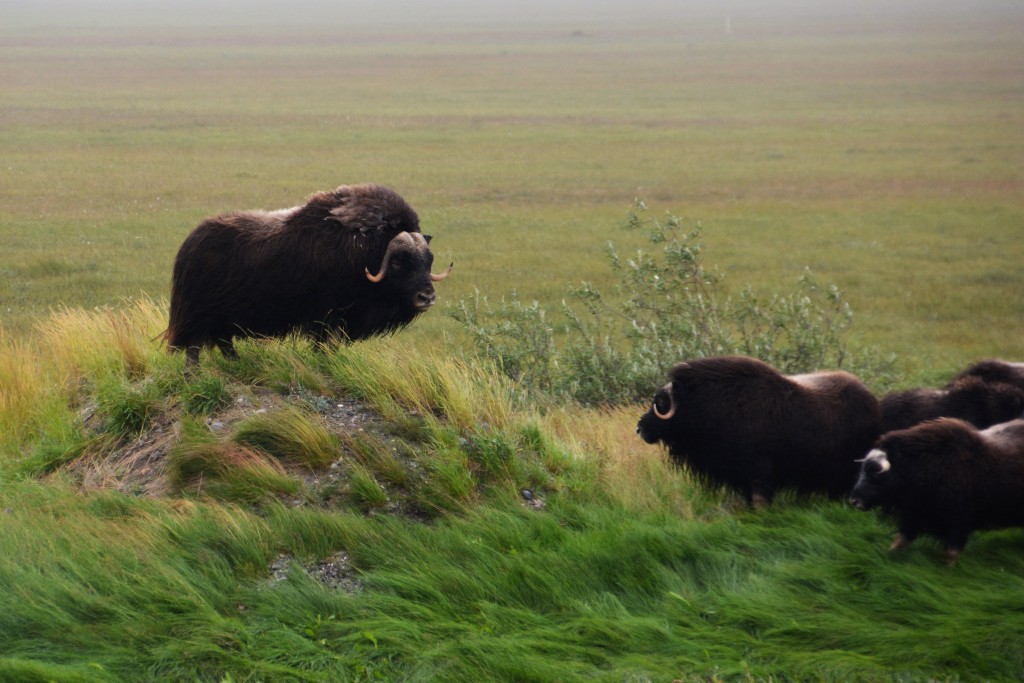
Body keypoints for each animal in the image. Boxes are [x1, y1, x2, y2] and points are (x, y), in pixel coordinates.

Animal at [165, 181, 450, 366]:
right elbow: (322, 344)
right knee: (194, 347)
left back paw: (237, 363)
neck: (365, 250)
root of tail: (188, 244)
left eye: (429, 260)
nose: (427, 297)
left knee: (223, 342)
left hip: (223, 317)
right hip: (199, 313)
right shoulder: (326, 314)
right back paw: (194, 376)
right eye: (399, 262)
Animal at [630, 358, 880, 507]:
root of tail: (871, 400)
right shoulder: (741, 476)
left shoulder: (760, 472)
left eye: (661, 402)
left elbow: (760, 499)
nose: (639, 428)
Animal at [847, 419, 1024, 565]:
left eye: (875, 475)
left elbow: (952, 552)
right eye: (863, 470)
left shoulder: (958, 521)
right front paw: (886, 556)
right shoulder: (914, 515)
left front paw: (949, 570)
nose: (854, 500)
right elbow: (901, 540)